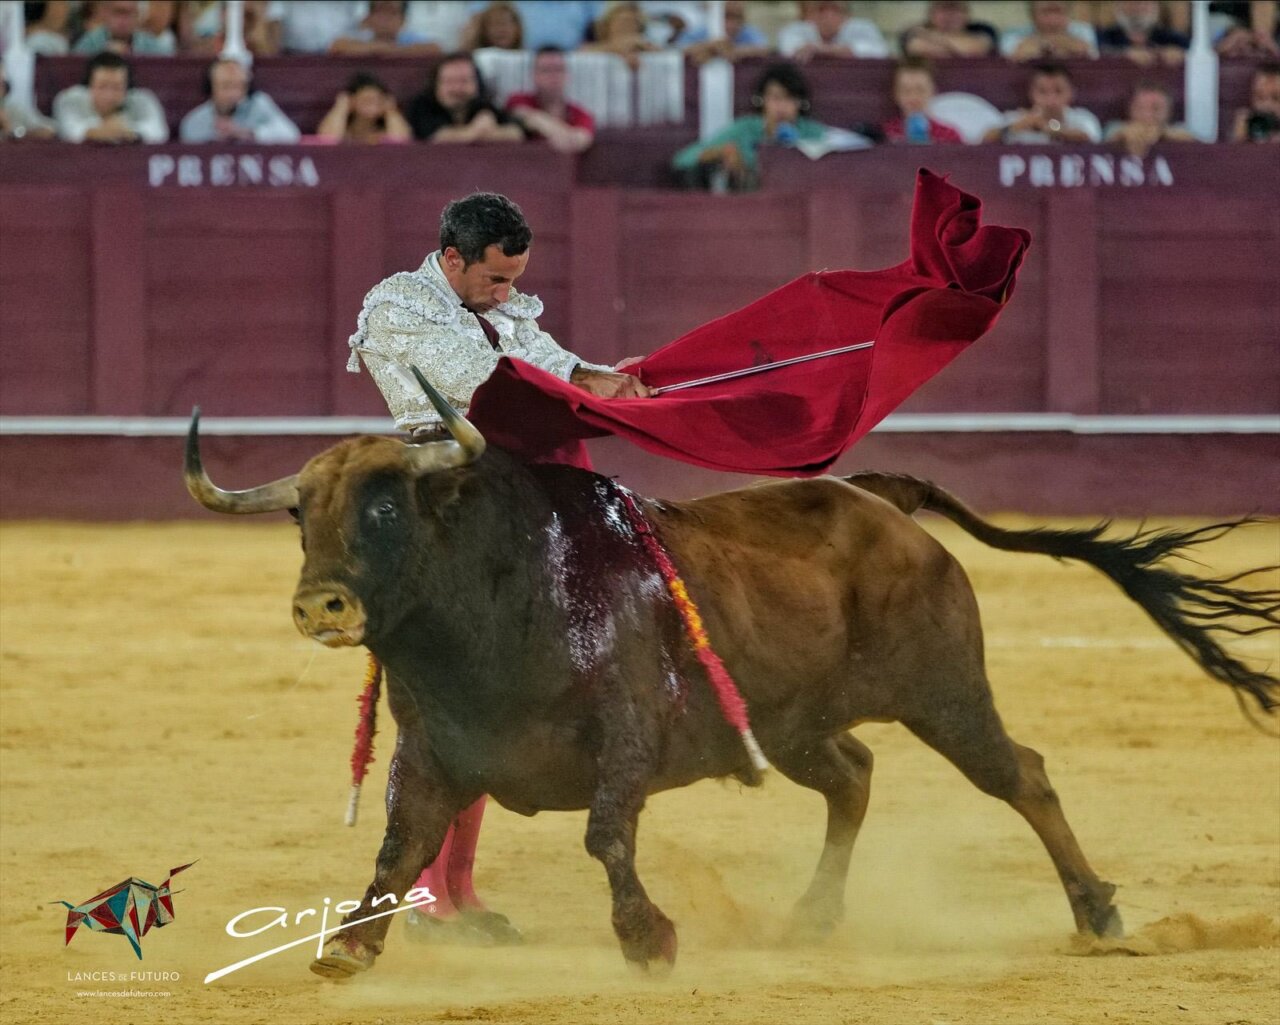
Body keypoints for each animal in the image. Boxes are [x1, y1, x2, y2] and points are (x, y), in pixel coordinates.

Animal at [184, 380, 1277, 979]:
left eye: (385, 506)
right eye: (301, 514)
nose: (320, 604)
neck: (486, 612)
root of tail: (875, 498)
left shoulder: (626, 736)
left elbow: (604, 834)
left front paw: (648, 938)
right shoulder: (431, 753)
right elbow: (398, 845)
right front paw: (348, 946)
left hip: (945, 691)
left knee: (1022, 774)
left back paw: (1096, 913)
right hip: (791, 723)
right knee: (852, 774)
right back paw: (811, 915)